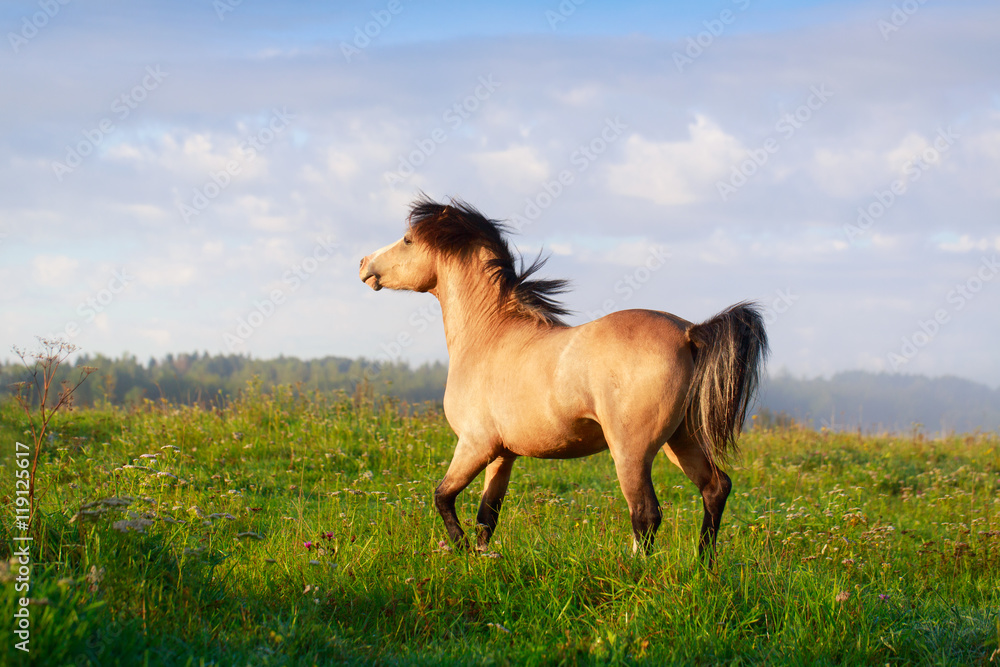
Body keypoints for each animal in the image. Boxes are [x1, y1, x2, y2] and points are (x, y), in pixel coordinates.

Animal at [359, 196, 768, 562]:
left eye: (408, 239)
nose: (364, 264)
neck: (490, 335)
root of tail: (689, 333)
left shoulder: (475, 445)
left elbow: (442, 496)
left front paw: (460, 550)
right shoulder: (502, 454)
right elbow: (487, 514)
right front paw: (482, 559)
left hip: (632, 451)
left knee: (646, 514)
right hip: (681, 438)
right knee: (714, 488)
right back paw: (703, 567)